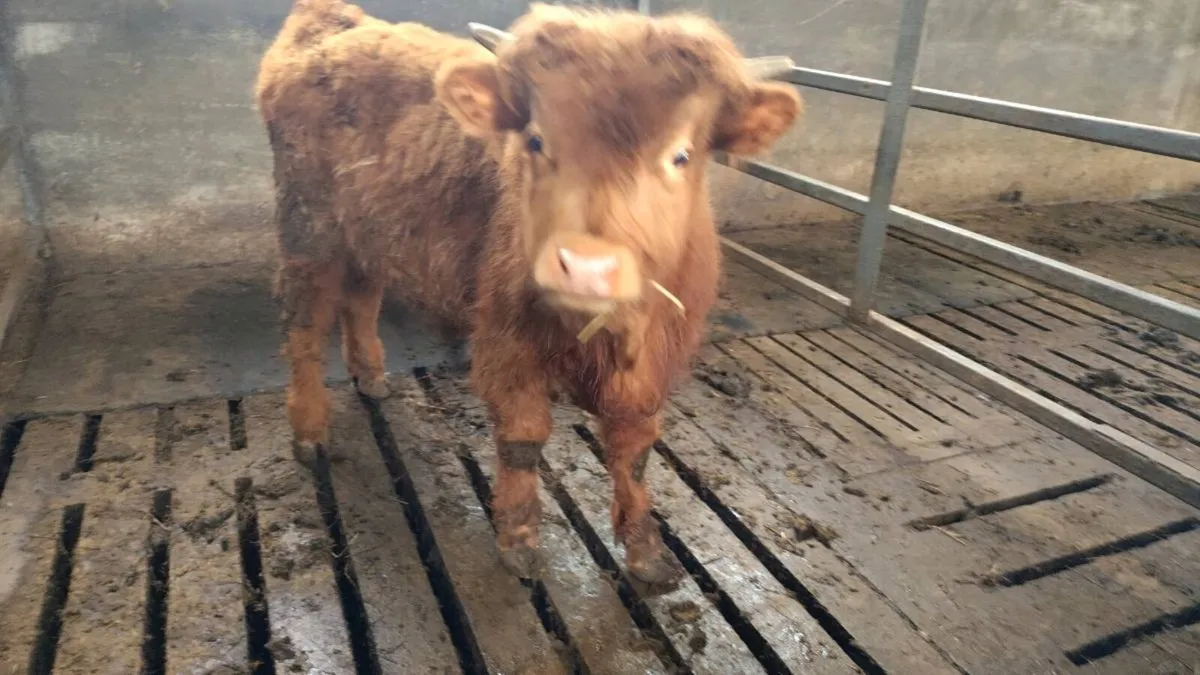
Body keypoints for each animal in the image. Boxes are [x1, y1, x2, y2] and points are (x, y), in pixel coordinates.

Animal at [255, 0, 803, 586]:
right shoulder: (507, 344)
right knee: (305, 330)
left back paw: (372, 376)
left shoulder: (651, 368)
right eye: (536, 141)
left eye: (681, 155)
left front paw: (646, 550)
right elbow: (523, 438)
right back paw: (309, 431)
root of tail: (328, 17)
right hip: (307, 228)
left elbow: (634, 451)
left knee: (362, 297)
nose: (585, 267)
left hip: (370, 230)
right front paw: (518, 538)